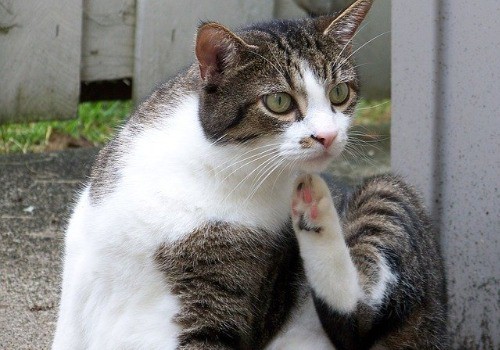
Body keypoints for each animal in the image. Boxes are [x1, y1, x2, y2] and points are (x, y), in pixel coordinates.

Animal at [52, 0, 448, 348]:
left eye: (339, 93)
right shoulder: (81, 268)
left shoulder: (222, 301)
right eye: (279, 101)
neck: (215, 164)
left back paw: (315, 208)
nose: (328, 136)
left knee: (358, 316)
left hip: (388, 191)